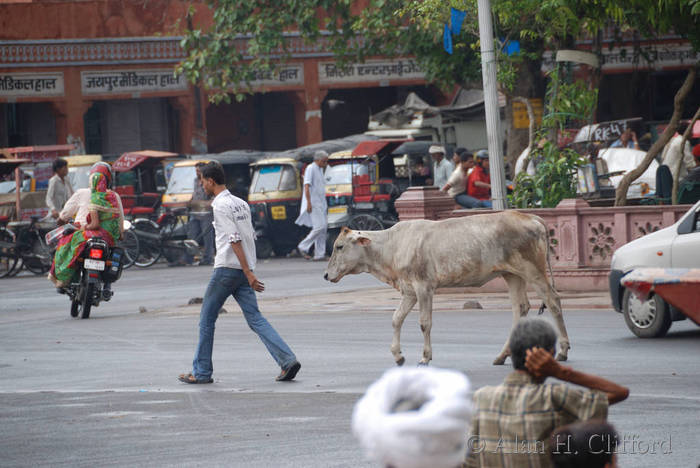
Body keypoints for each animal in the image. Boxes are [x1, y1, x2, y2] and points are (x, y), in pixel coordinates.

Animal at [326, 210, 572, 368]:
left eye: (339, 246)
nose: (326, 275)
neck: (392, 246)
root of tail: (531, 217)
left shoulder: (424, 287)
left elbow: (424, 323)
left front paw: (425, 357)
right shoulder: (409, 292)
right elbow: (396, 319)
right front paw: (397, 355)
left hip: (533, 270)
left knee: (553, 300)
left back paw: (562, 350)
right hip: (512, 274)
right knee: (520, 308)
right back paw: (503, 355)